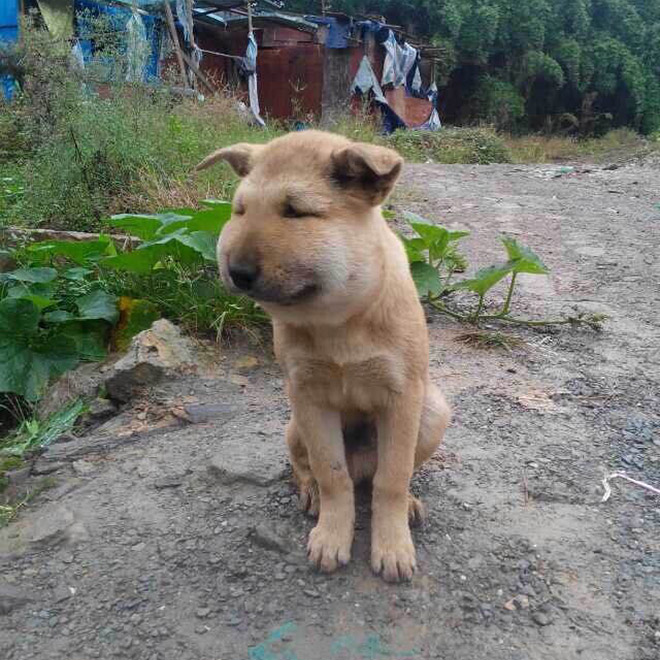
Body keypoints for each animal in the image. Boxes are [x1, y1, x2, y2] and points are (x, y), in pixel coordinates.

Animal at [196, 130, 452, 584]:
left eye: (295, 211)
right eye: (239, 211)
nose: (235, 272)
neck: (339, 321)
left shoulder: (403, 398)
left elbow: (392, 478)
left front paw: (392, 545)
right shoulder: (309, 398)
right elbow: (333, 475)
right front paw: (332, 535)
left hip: (433, 411)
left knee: (385, 475)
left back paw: (407, 503)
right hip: (295, 426)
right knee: (310, 467)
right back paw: (310, 492)